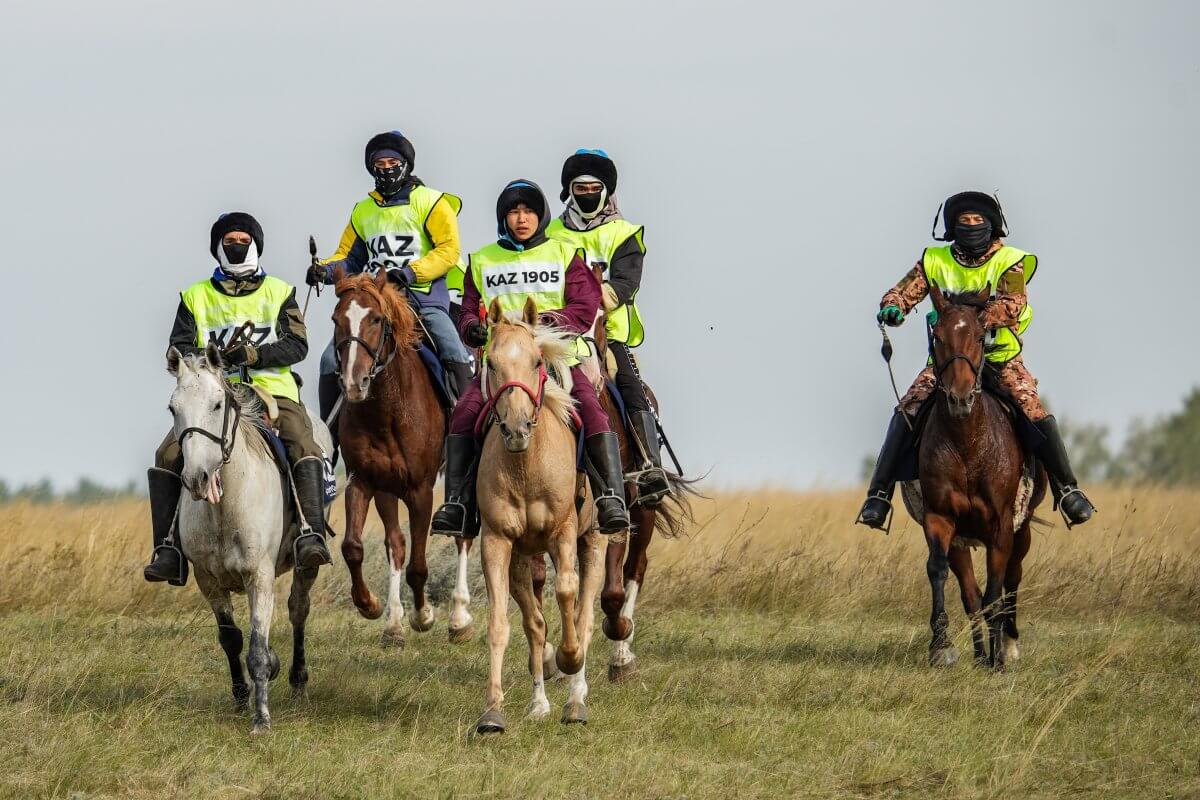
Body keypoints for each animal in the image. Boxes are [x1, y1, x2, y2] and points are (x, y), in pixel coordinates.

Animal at [166, 345, 331, 734]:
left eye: (217, 404)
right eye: (172, 408)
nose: (196, 478)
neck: (225, 509)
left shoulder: (259, 575)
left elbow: (256, 648)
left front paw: (262, 719)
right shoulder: (208, 581)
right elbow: (232, 639)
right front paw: (242, 698)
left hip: (305, 564)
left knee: (298, 610)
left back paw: (298, 682)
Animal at [333, 272, 477, 647]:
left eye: (376, 319)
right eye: (336, 320)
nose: (354, 383)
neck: (386, 410)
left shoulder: (420, 490)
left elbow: (418, 565)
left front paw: (423, 616)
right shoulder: (364, 481)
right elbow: (356, 547)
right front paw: (372, 607)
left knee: (462, 536)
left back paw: (459, 619)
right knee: (395, 545)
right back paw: (394, 621)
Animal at [472, 297, 604, 734]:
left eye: (535, 361)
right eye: (492, 363)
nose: (516, 430)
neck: (526, 466)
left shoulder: (563, 531)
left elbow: (566, 593)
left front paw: (568, 658)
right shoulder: (496, 541)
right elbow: (501, 624)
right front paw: (492, 712)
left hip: (594, 541)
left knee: (583, 614)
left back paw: (575, 700)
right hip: (520, 558)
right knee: (535, 624)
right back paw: (540, 703)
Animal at [912, 281, 1046, 671]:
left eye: (977, 336)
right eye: (938, 336)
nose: (959, 398)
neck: (968, 444)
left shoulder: (1001, 525)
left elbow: (995, 591)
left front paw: (999, 659)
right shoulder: (941, 520)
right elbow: (940, 573)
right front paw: (941, 646)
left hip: (1022, 529)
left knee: (1012, 580)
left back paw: (1007, 646)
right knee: (970, 593)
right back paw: (979, 653)